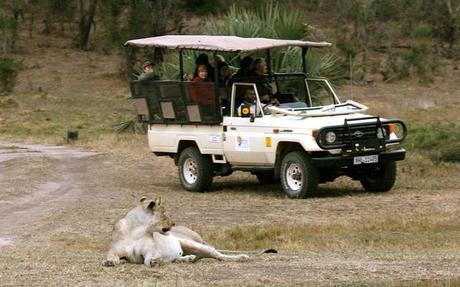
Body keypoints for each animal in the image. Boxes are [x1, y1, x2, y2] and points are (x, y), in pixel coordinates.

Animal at [103, 198, 250, 268]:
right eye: (164, 213)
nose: (173, 223)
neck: (136, 231)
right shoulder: (115, 251)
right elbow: (113, 256)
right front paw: (110, 262)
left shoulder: (150, 251)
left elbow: (150, 258)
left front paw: (155, 261)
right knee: (184, 257)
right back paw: (188, 258)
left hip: (191, 243)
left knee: (216, 254)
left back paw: (242, 257)